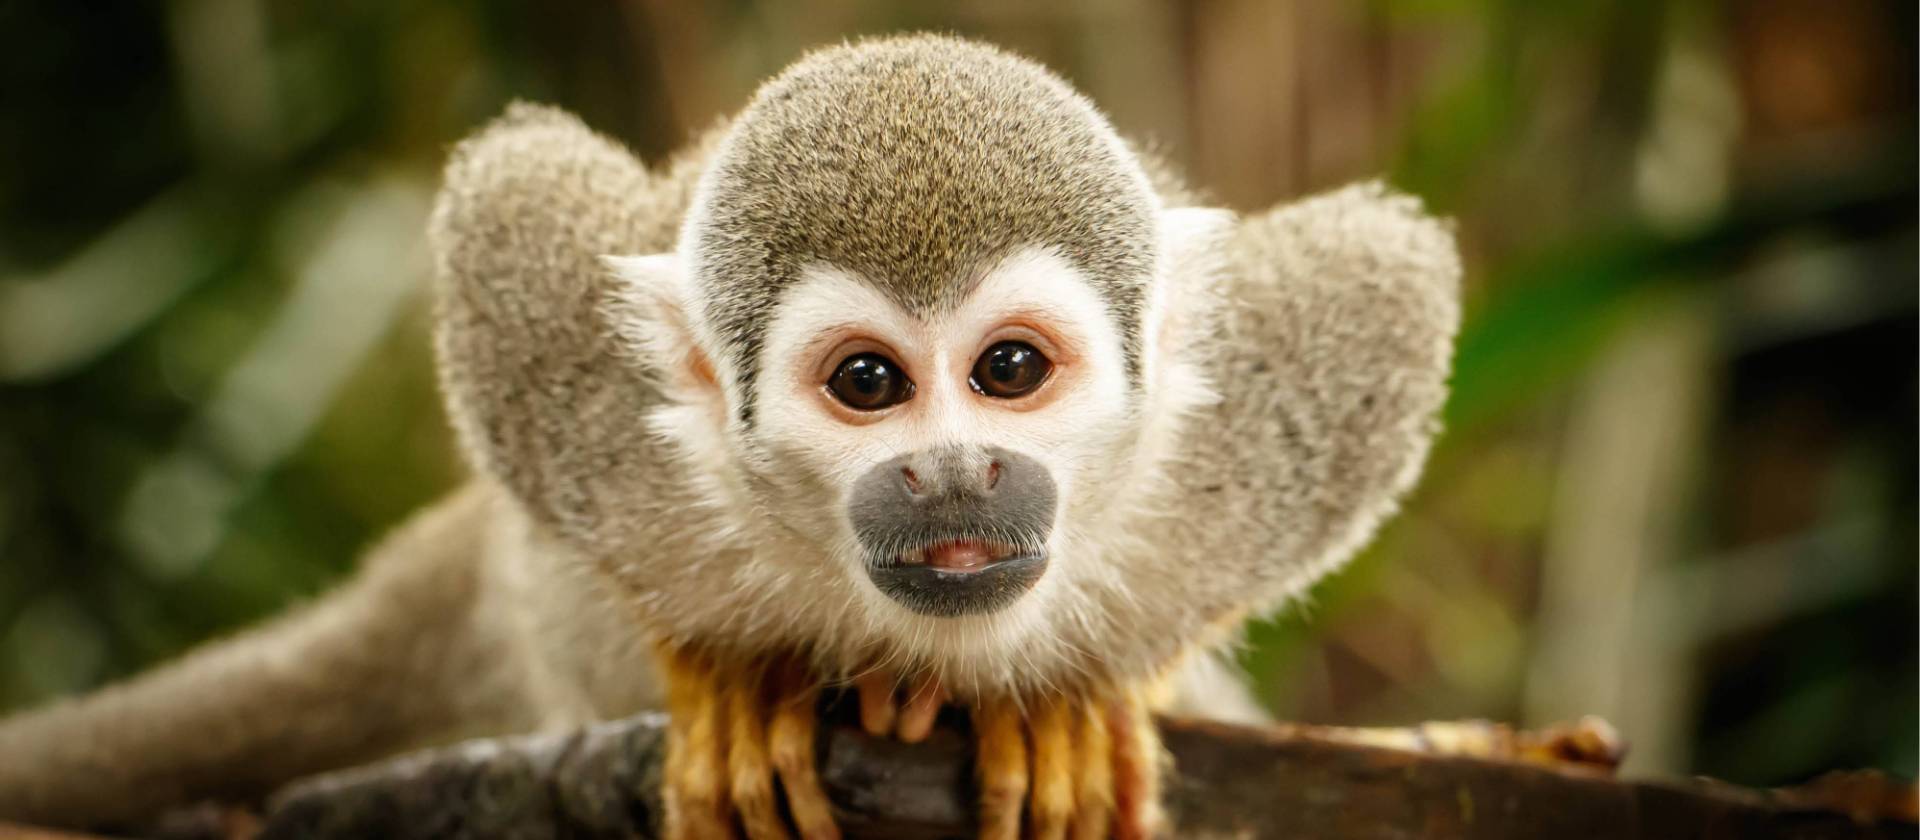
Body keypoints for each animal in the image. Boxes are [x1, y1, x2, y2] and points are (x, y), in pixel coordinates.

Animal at [0, 34, 1459, 838]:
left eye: (1008, 371)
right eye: (869, 382)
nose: (953, 469)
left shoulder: (1254, 430)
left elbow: (1390, 278)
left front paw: (1080, 700)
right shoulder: (589, 418)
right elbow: (514, 199)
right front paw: (727, 676)